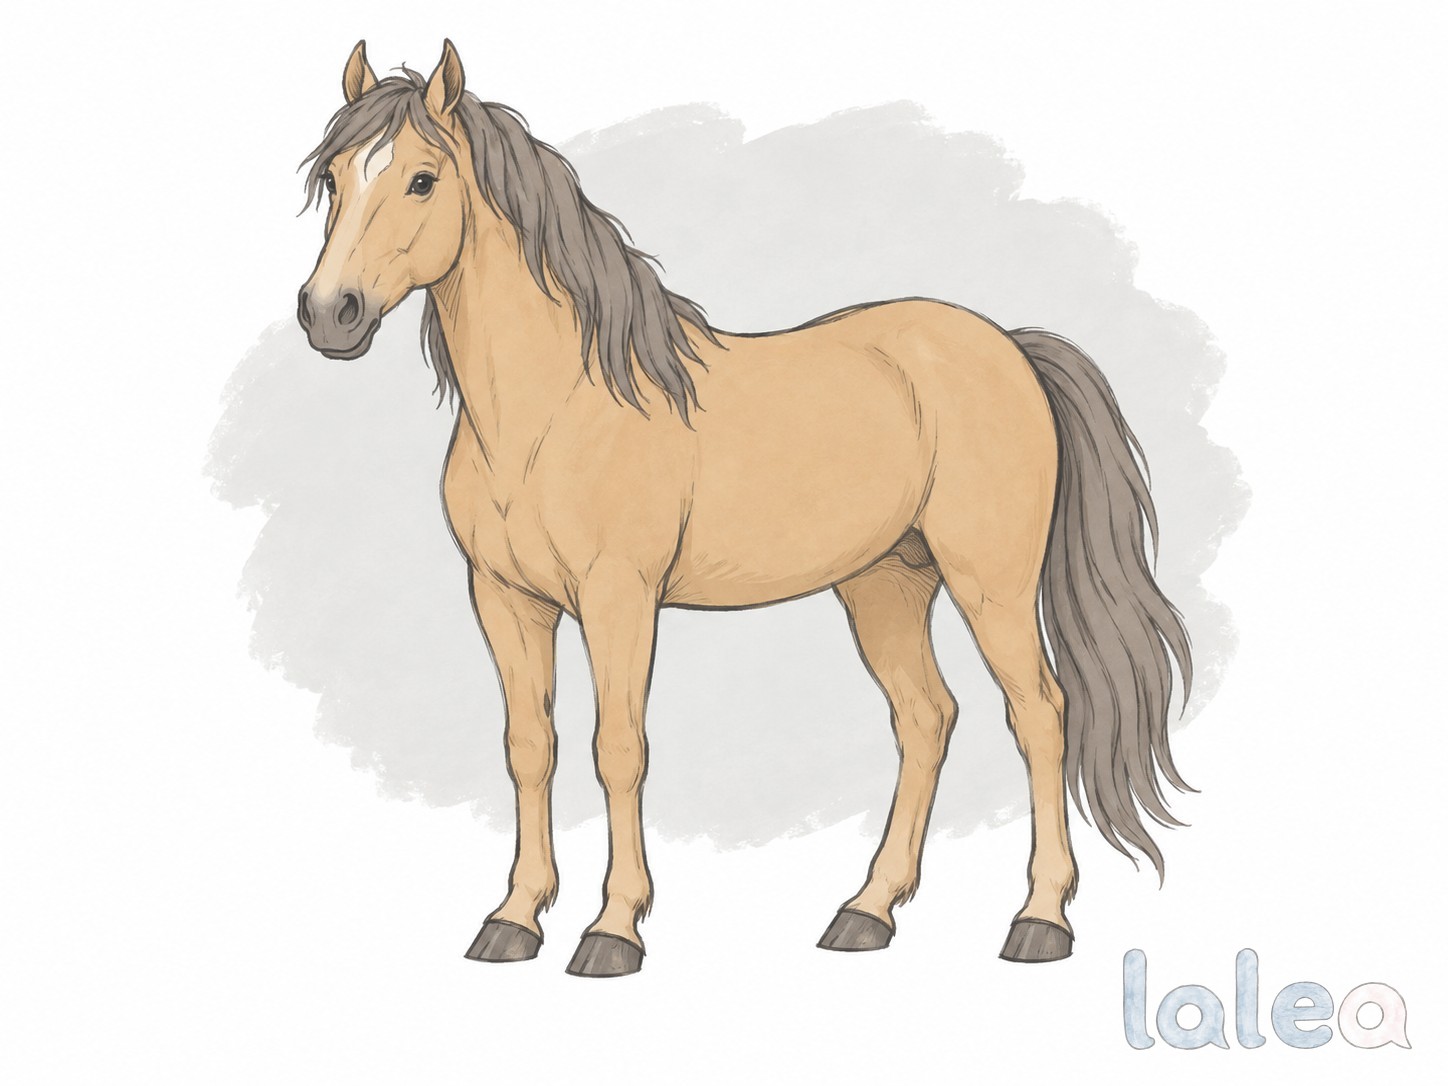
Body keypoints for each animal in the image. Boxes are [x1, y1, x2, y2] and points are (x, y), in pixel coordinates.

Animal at [295, 39, 1193, 978]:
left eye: (422, 179)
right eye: (332, 177)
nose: (329, 314)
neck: (554, 409)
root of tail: (1008, 347)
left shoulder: (619, 600)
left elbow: (618, 750)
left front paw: (613, 929)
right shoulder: (505, 600)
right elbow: (529, 750)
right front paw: (513, 919)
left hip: (993, 585)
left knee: (1041, 715)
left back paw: (1040, 920)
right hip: (886, 584)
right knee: (926, 718)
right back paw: (867, 911)